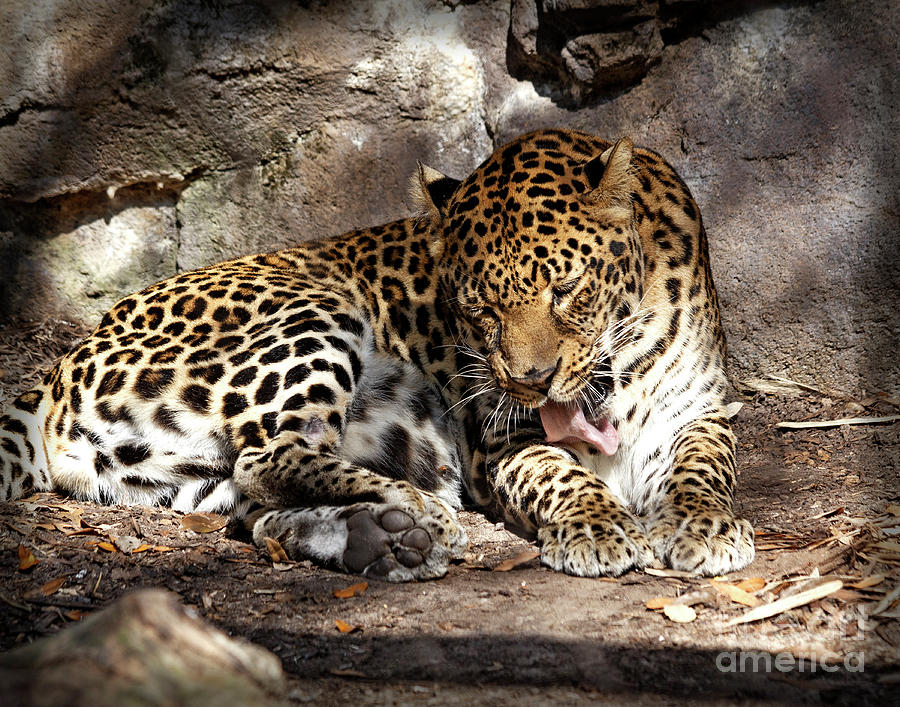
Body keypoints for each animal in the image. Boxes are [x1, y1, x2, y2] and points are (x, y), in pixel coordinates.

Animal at [0, 130, 756, 584]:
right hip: (315, 312)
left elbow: (702, 466)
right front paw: (598, 527)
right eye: (479, 309)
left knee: (252, 506)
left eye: (566, 289)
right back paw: (420, 511)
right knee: (270, 457)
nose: (531, 382)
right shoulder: (499, 439)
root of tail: (63, 364)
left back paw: (384, 539)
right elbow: (560, 474)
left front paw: (702, 524)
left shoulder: (701, 408)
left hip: (178, 478)